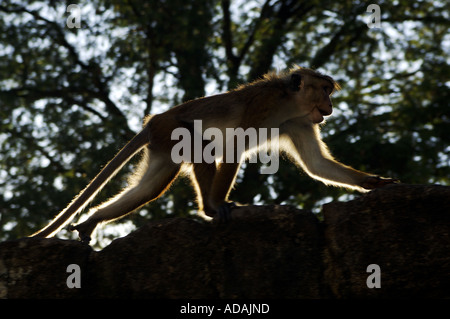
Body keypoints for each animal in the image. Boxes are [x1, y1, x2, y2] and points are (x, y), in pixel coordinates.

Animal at [31, 66, 398, 244]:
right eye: (323, 89)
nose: (330, 106)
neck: (288, 102)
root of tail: (154, 121)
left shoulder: (300, 122)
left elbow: (317, 165)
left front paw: (374, 182)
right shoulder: (263, 105)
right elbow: (234, 146)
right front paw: (219, 206)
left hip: (162, 146)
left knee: (149, 188)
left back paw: (92, 220)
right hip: (172, 129)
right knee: (201, 147)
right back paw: (209, 208)